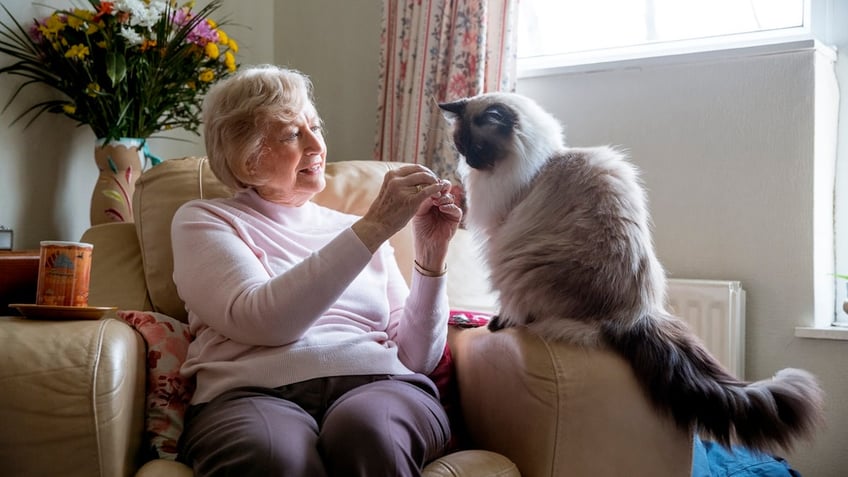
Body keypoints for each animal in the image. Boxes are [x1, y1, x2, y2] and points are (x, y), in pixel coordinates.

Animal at [440, 91, 824, 452]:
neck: (541, 162)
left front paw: (495, 321)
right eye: (461, 147)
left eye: (478, 147)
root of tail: (636, 315)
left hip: (520, 268)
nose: (469, 162)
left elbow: (505, 304)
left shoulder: (500, 238)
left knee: (525, 311)